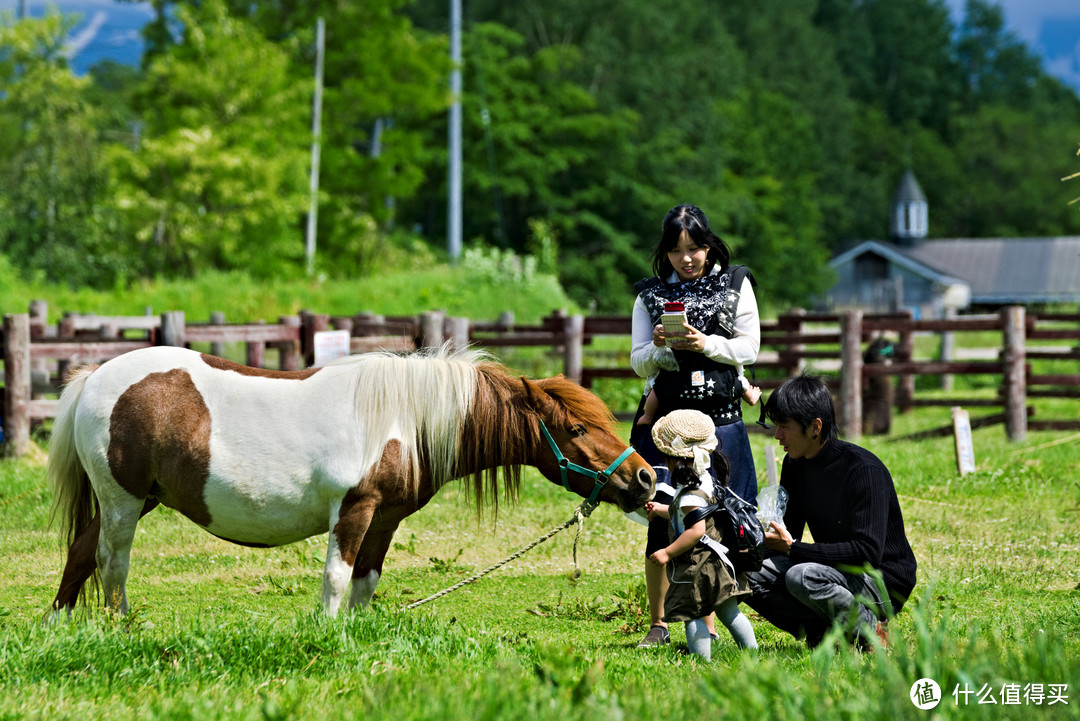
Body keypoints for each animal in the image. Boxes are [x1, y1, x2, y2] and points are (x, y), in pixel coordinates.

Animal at [46, 345, 652, 617]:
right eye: (576, 428)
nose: (646, 479)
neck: (405, 420)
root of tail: (96, 374)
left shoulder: (384, 520)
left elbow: (365, 582)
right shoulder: (354, 511)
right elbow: (337, 579)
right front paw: (323, 631)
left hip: (134, 500)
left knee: (82, 552)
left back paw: (64, 624)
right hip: (124, 501)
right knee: (112, 561)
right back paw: (120, 626)